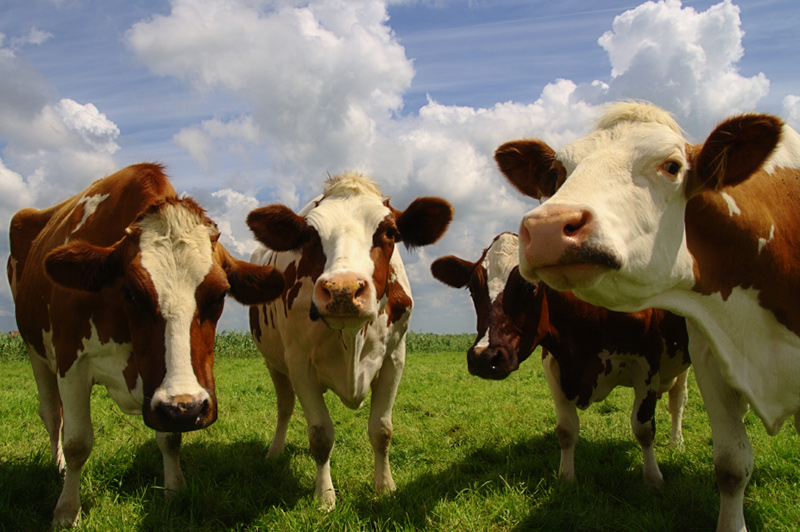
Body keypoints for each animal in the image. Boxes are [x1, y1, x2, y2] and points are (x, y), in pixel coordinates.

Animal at [7, 163, 284, 528]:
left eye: (220, 294)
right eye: (131, 293)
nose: (188, 408)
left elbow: (170, 437)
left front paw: (174, 491)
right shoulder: (71, 363)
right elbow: (78, 442)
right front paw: (66, 510)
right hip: (34, 351)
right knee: (53, 414)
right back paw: (58, 467)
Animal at [247, 172, 454, 510]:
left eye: (390, 232)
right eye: (309, 236)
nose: (343, 289)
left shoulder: (395, 357)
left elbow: (382, 430)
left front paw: (385, 486)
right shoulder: (299, 362)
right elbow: (320, 435)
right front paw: (325, 497)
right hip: (273, 362)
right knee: (285, 406)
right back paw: (274, 452)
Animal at [432, 233, 688, 486]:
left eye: (530, 288)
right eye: (472, 289)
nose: (484, 357)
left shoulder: (647, 364)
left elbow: (643, 427)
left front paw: (653, 478)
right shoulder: (554, 365)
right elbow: (566, 430)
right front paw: (566, 477)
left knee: (678, 400)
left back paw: (676, 442)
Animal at [496, 101, 800, 532]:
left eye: (671, 166)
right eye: (557, 173)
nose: (547, 228)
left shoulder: (660, 363)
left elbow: (647, 426)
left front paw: (655, 475)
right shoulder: (712, 362)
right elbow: (731, 465)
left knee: (677, 402)